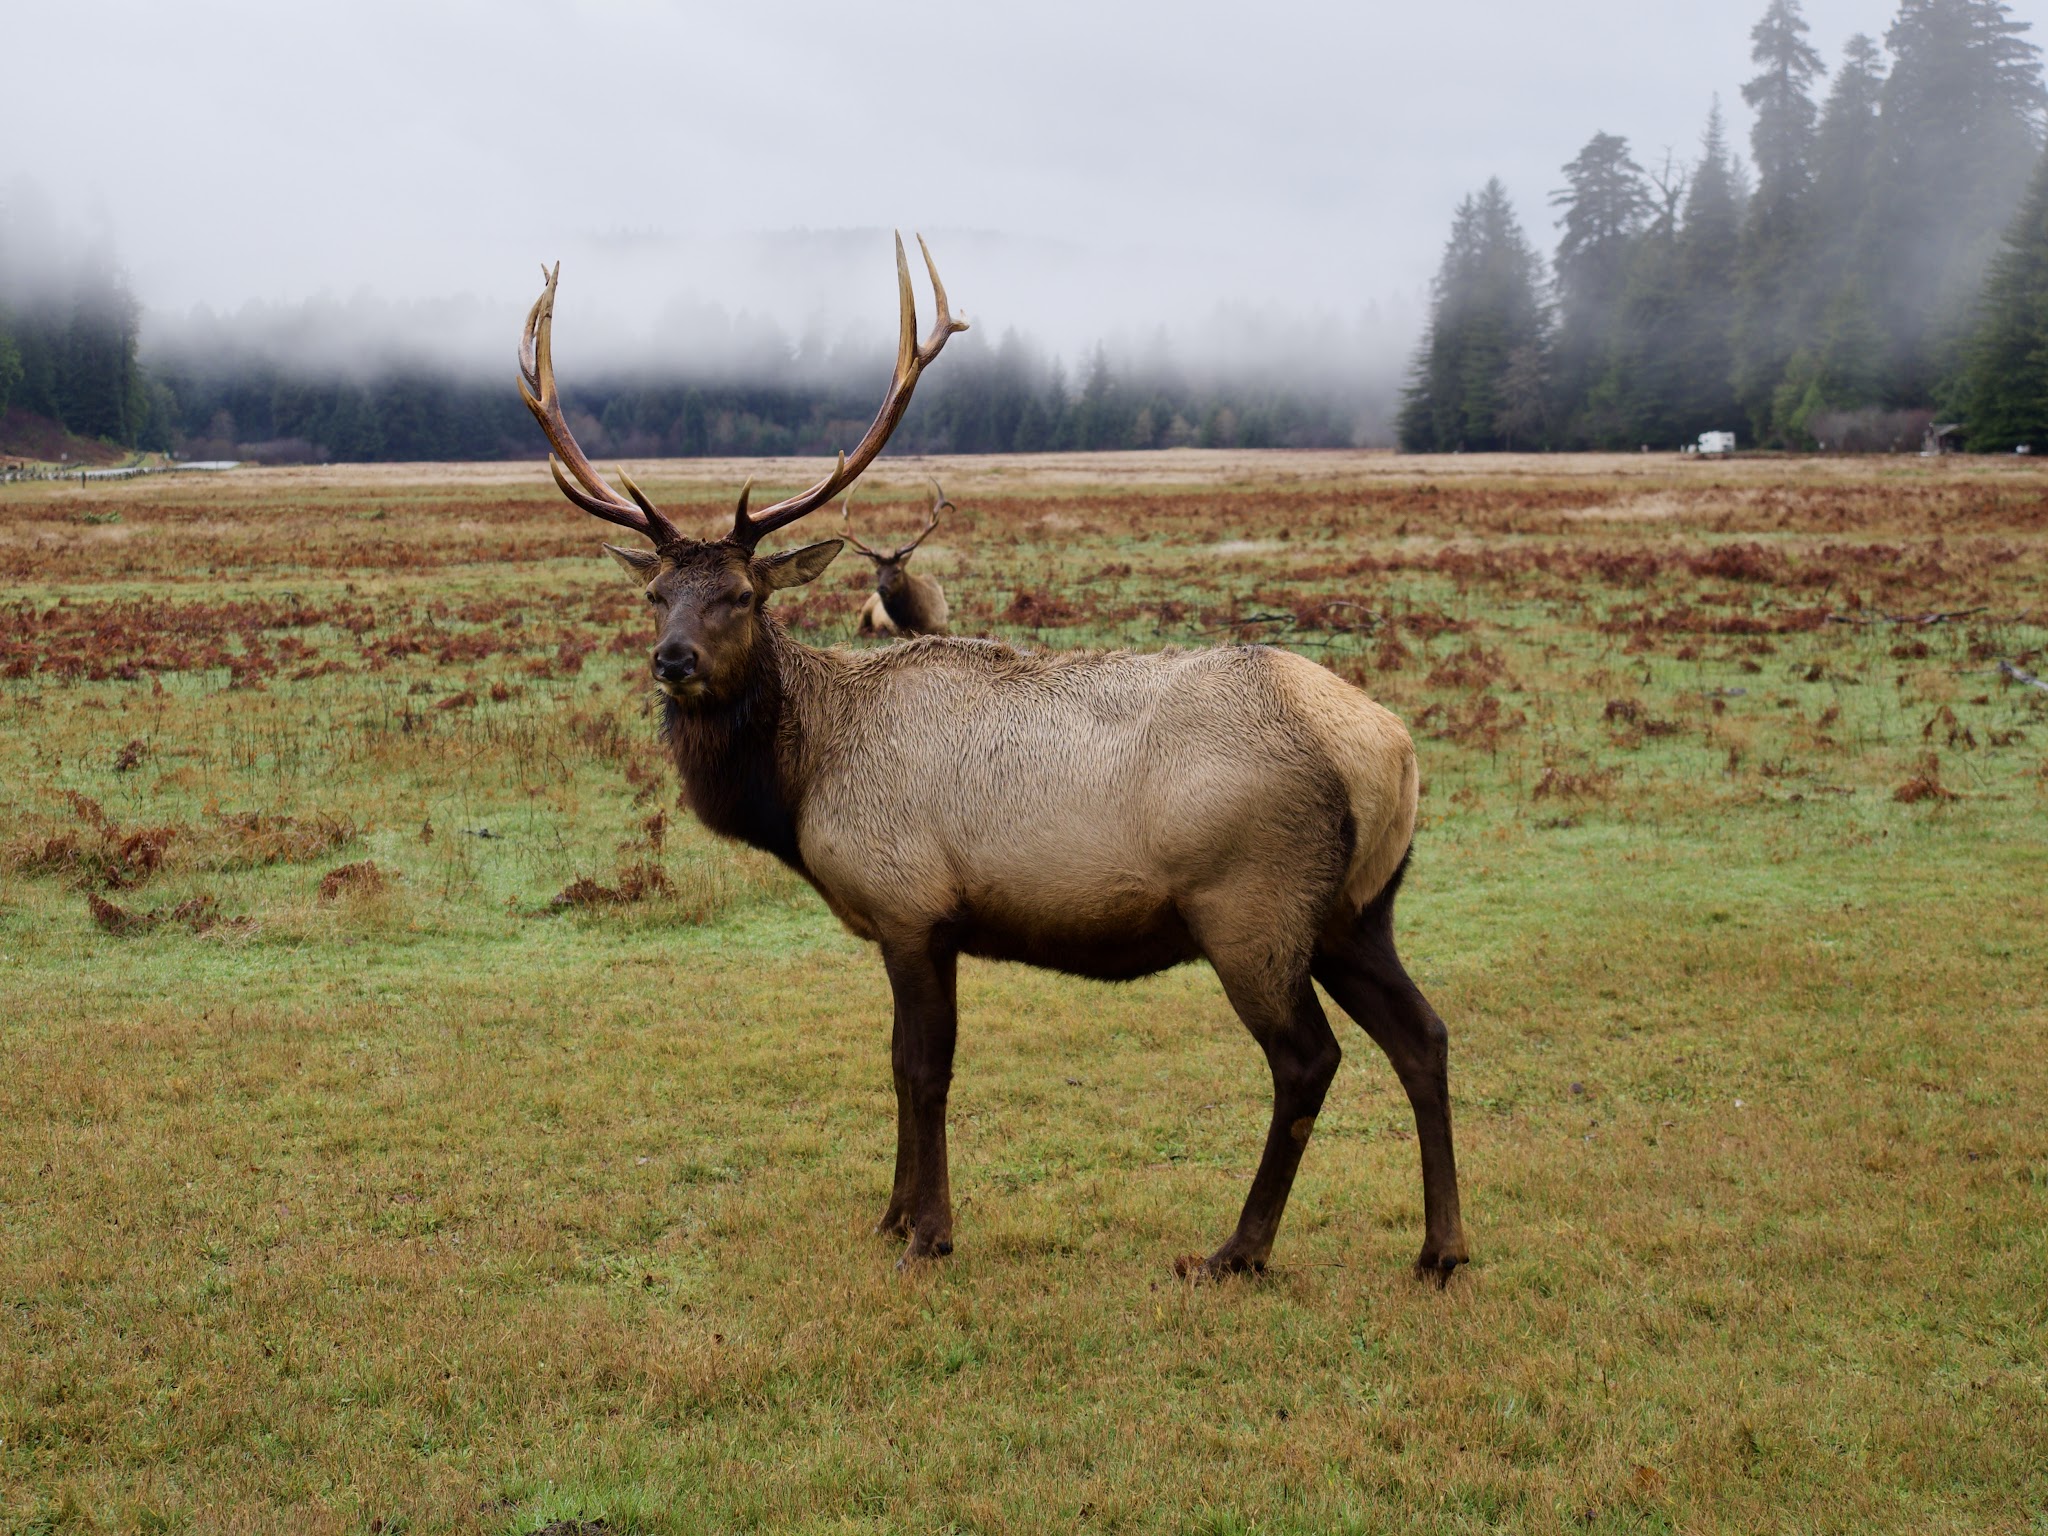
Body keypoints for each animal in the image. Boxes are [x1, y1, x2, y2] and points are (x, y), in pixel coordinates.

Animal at [843, 482, 952, 638]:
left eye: (897, 570)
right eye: (877, 572)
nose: (882, 588)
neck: (918, 621)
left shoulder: (944, 629)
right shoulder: (900, 633)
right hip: (865, 610)